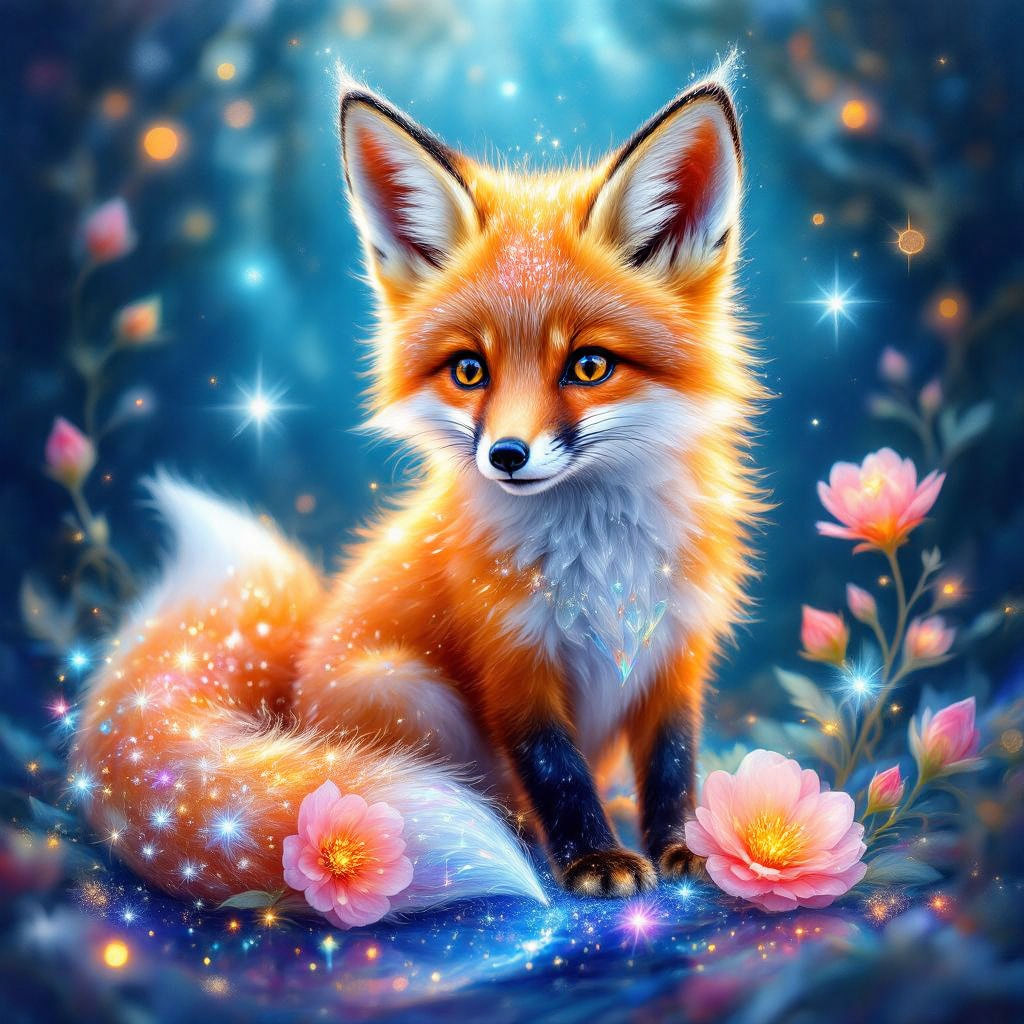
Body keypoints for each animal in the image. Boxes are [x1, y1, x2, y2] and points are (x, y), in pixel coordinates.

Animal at [74, 63, 764, 921]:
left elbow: (672, 765)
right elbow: (557, 772)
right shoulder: (511, 661)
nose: (506, 456)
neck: (604, 566)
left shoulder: (677, 652)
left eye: (589, 366)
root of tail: (288, 708)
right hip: (407, 693)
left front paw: (680, 849)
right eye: (469, 370)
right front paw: (593, 858)